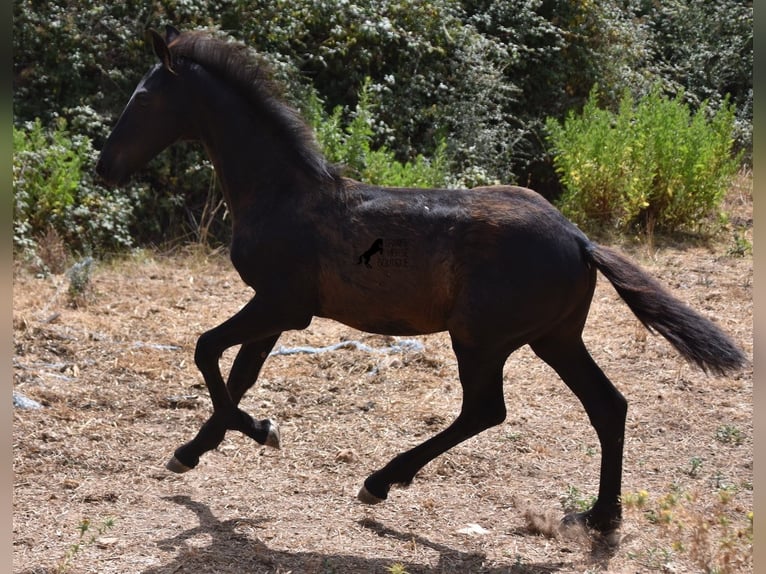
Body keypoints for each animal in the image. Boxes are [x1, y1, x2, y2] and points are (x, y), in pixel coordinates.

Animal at [93, 27, 748, 548]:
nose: (104, 167)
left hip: (481, 338)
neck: (282, 194)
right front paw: (194, 452)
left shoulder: (281, 303)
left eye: (144, 97)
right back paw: (600, 518)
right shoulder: (281, 312)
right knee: (607, 405)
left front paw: (259, 433)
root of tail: (580, 239)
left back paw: (380, 482)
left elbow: (207, 351)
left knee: (486, 409)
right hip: (555, 337)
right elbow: (239, 373)